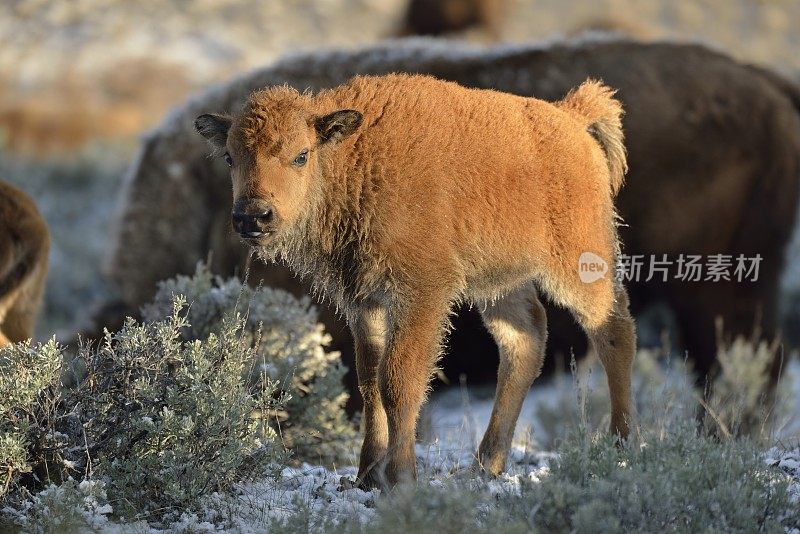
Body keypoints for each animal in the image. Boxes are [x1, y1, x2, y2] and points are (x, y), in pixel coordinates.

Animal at [195, 73, 636, 488]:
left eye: (301, 155)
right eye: (230, 157)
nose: (253, 216)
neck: (354, 158)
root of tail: (571, 117)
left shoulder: (421, 293)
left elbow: (398, 380)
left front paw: (401, 476)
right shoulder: (365, 301)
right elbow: (369, 382)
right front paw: (366, 476)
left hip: (579, 263)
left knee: (614, 332)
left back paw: (620, 447)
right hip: (500, 282)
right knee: (525, 339)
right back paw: (485, 466)